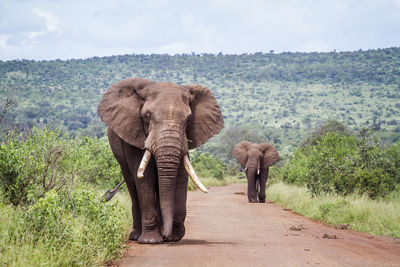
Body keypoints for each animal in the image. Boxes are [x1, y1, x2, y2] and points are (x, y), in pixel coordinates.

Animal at [95, 78, 223, 244]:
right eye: (147, 116)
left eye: (188, 119)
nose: (167, 236)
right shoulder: (133, 134)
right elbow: (144, 179)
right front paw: (151, 241)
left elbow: (181, 176)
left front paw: (174, 237)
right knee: (132, 186)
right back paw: (136, 236)